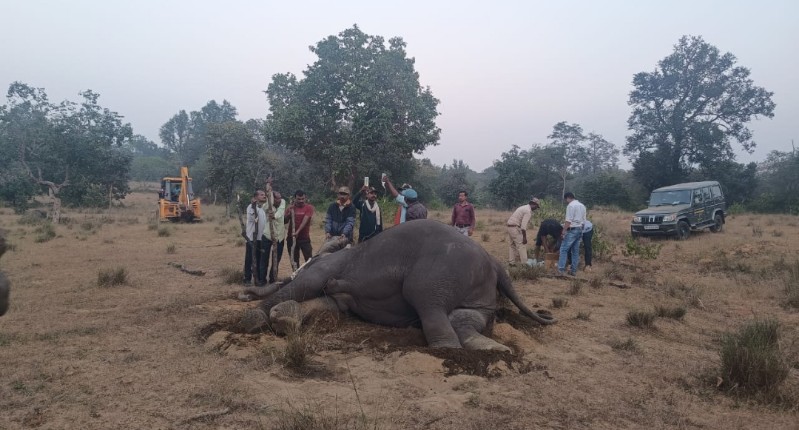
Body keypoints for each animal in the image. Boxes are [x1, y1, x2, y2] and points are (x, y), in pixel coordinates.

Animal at [240, 219, 555, 351]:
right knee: (463, 317)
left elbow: (310, 284)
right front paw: (283, 319)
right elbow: (329, 304)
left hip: (436, 274)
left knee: (427, 301)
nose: (243, 294)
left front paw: (254, 319)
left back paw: (447, 350)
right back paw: (493, 349)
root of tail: (494, 261)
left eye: (338, 241)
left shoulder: (328, 265)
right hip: (477, 291)